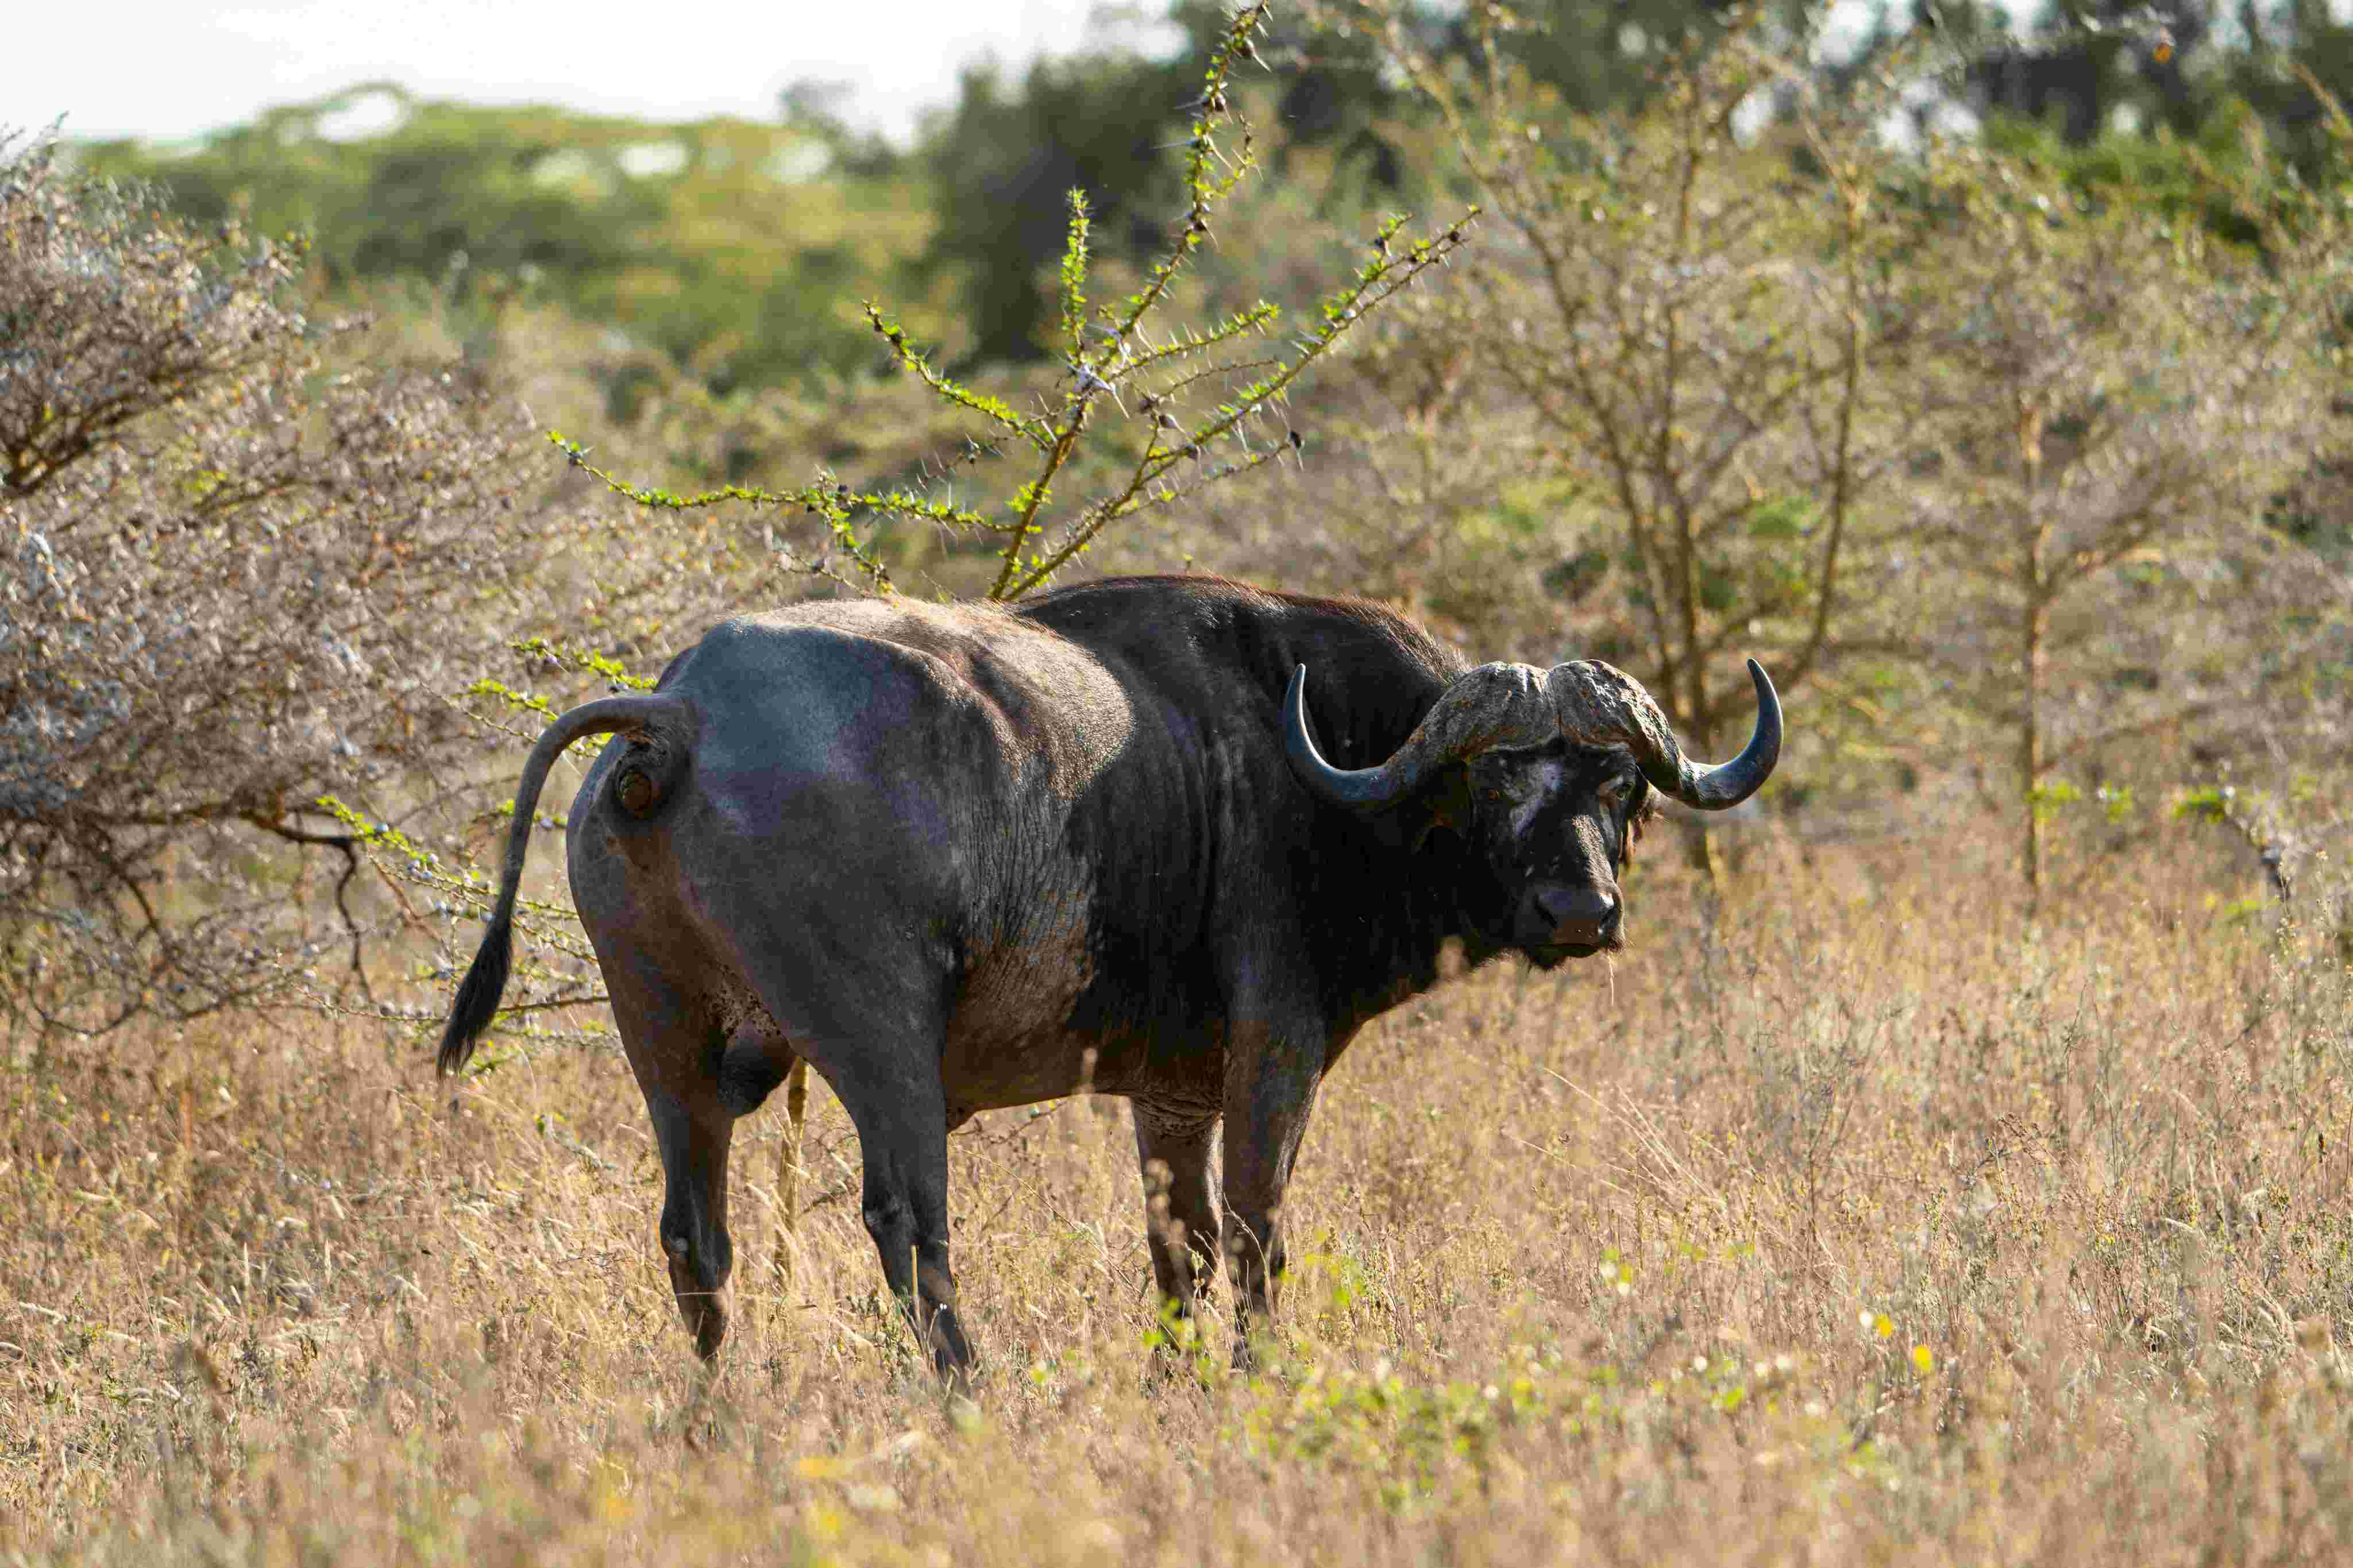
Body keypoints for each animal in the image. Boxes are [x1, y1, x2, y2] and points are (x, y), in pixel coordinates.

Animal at [437, 575, 1779, 1377]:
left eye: (1614, 781)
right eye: (1497, 779)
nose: (1579, 911)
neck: (1327, 766)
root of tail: (684, 709)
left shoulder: (1169, 1093)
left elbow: (1179, 1244)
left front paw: (1178, 1380)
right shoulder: (1277, 1050)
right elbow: (1257, 1230)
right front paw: (1255, 1377)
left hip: (664, 1044)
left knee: (693, 1239)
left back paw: (722, 1414)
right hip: (876, 1041)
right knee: (909, 1223)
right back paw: (967, 1395)